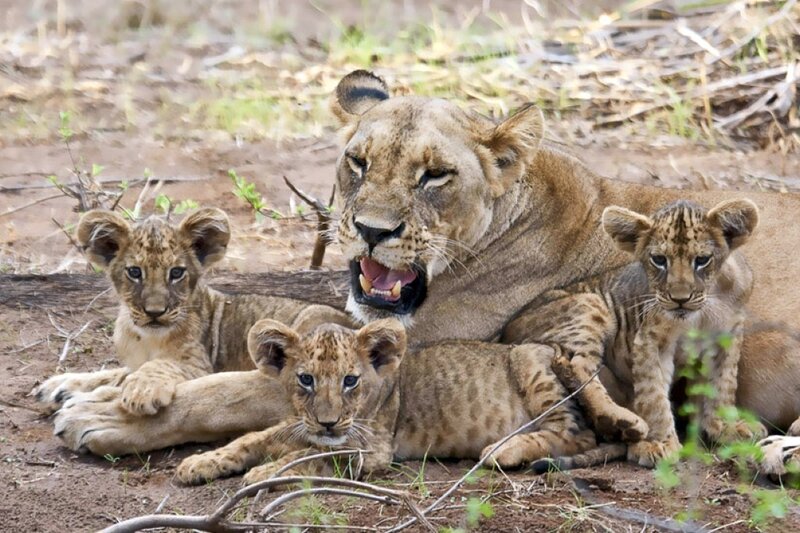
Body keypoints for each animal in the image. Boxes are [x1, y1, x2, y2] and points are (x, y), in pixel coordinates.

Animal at [51, 70, 800, 464]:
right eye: (357, 162)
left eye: (435, 176)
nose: (374, 232)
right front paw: (78, 383)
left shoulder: (387, 368)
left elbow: (230, 391)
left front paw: (104, 415)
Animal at [175, 318, 605, 485]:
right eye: (305, 380)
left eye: (350, 381)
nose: (329, 422)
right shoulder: (305, 427)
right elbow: (252, 439)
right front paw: (200, 463)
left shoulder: (371, 450)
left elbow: (308, 457)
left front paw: (263, 474)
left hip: (529, 359)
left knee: (579, 433)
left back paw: (504, 449)